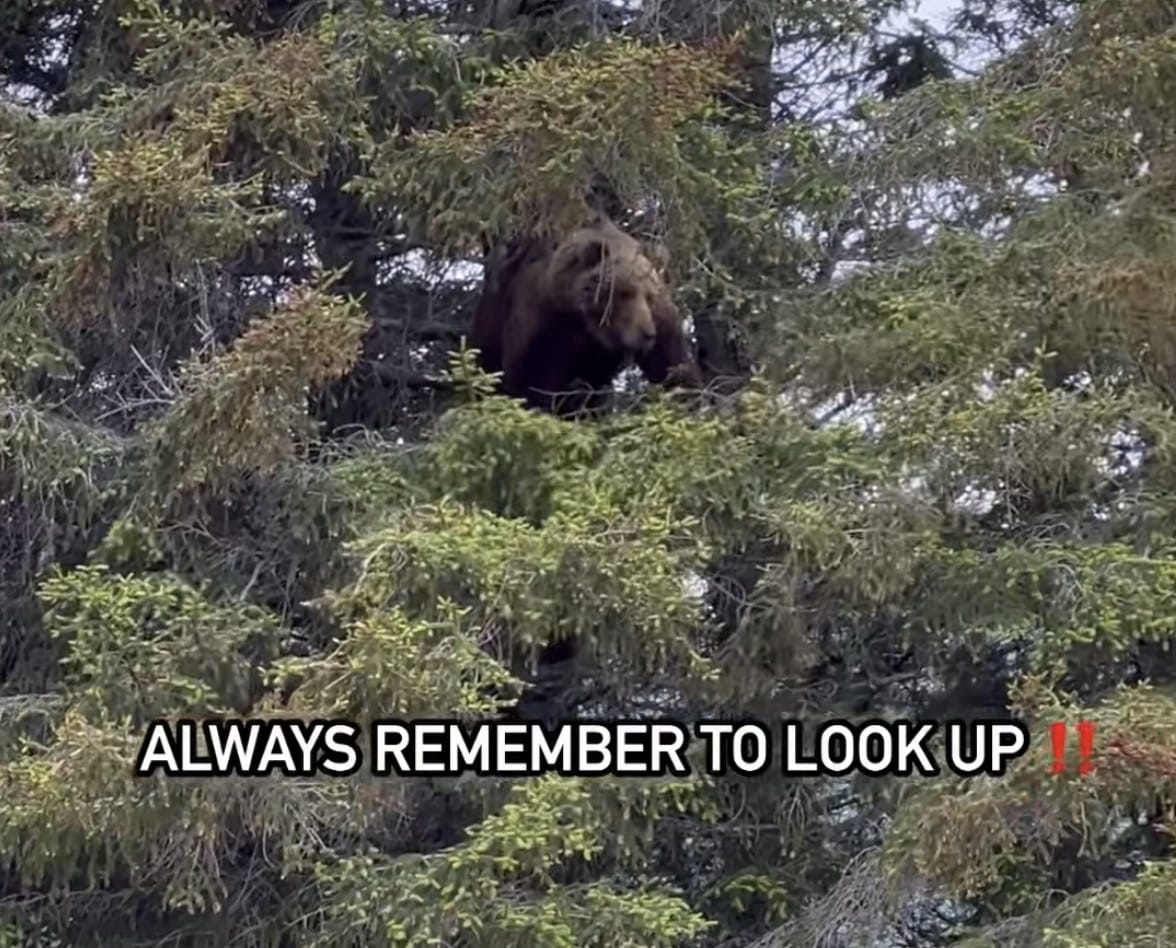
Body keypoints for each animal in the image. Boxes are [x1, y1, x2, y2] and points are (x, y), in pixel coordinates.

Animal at [470, 217, 702, 416]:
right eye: (624, 292)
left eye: (650, 296)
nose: (647, 334)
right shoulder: (540, 321)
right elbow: (527, 376)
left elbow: (672, 367)